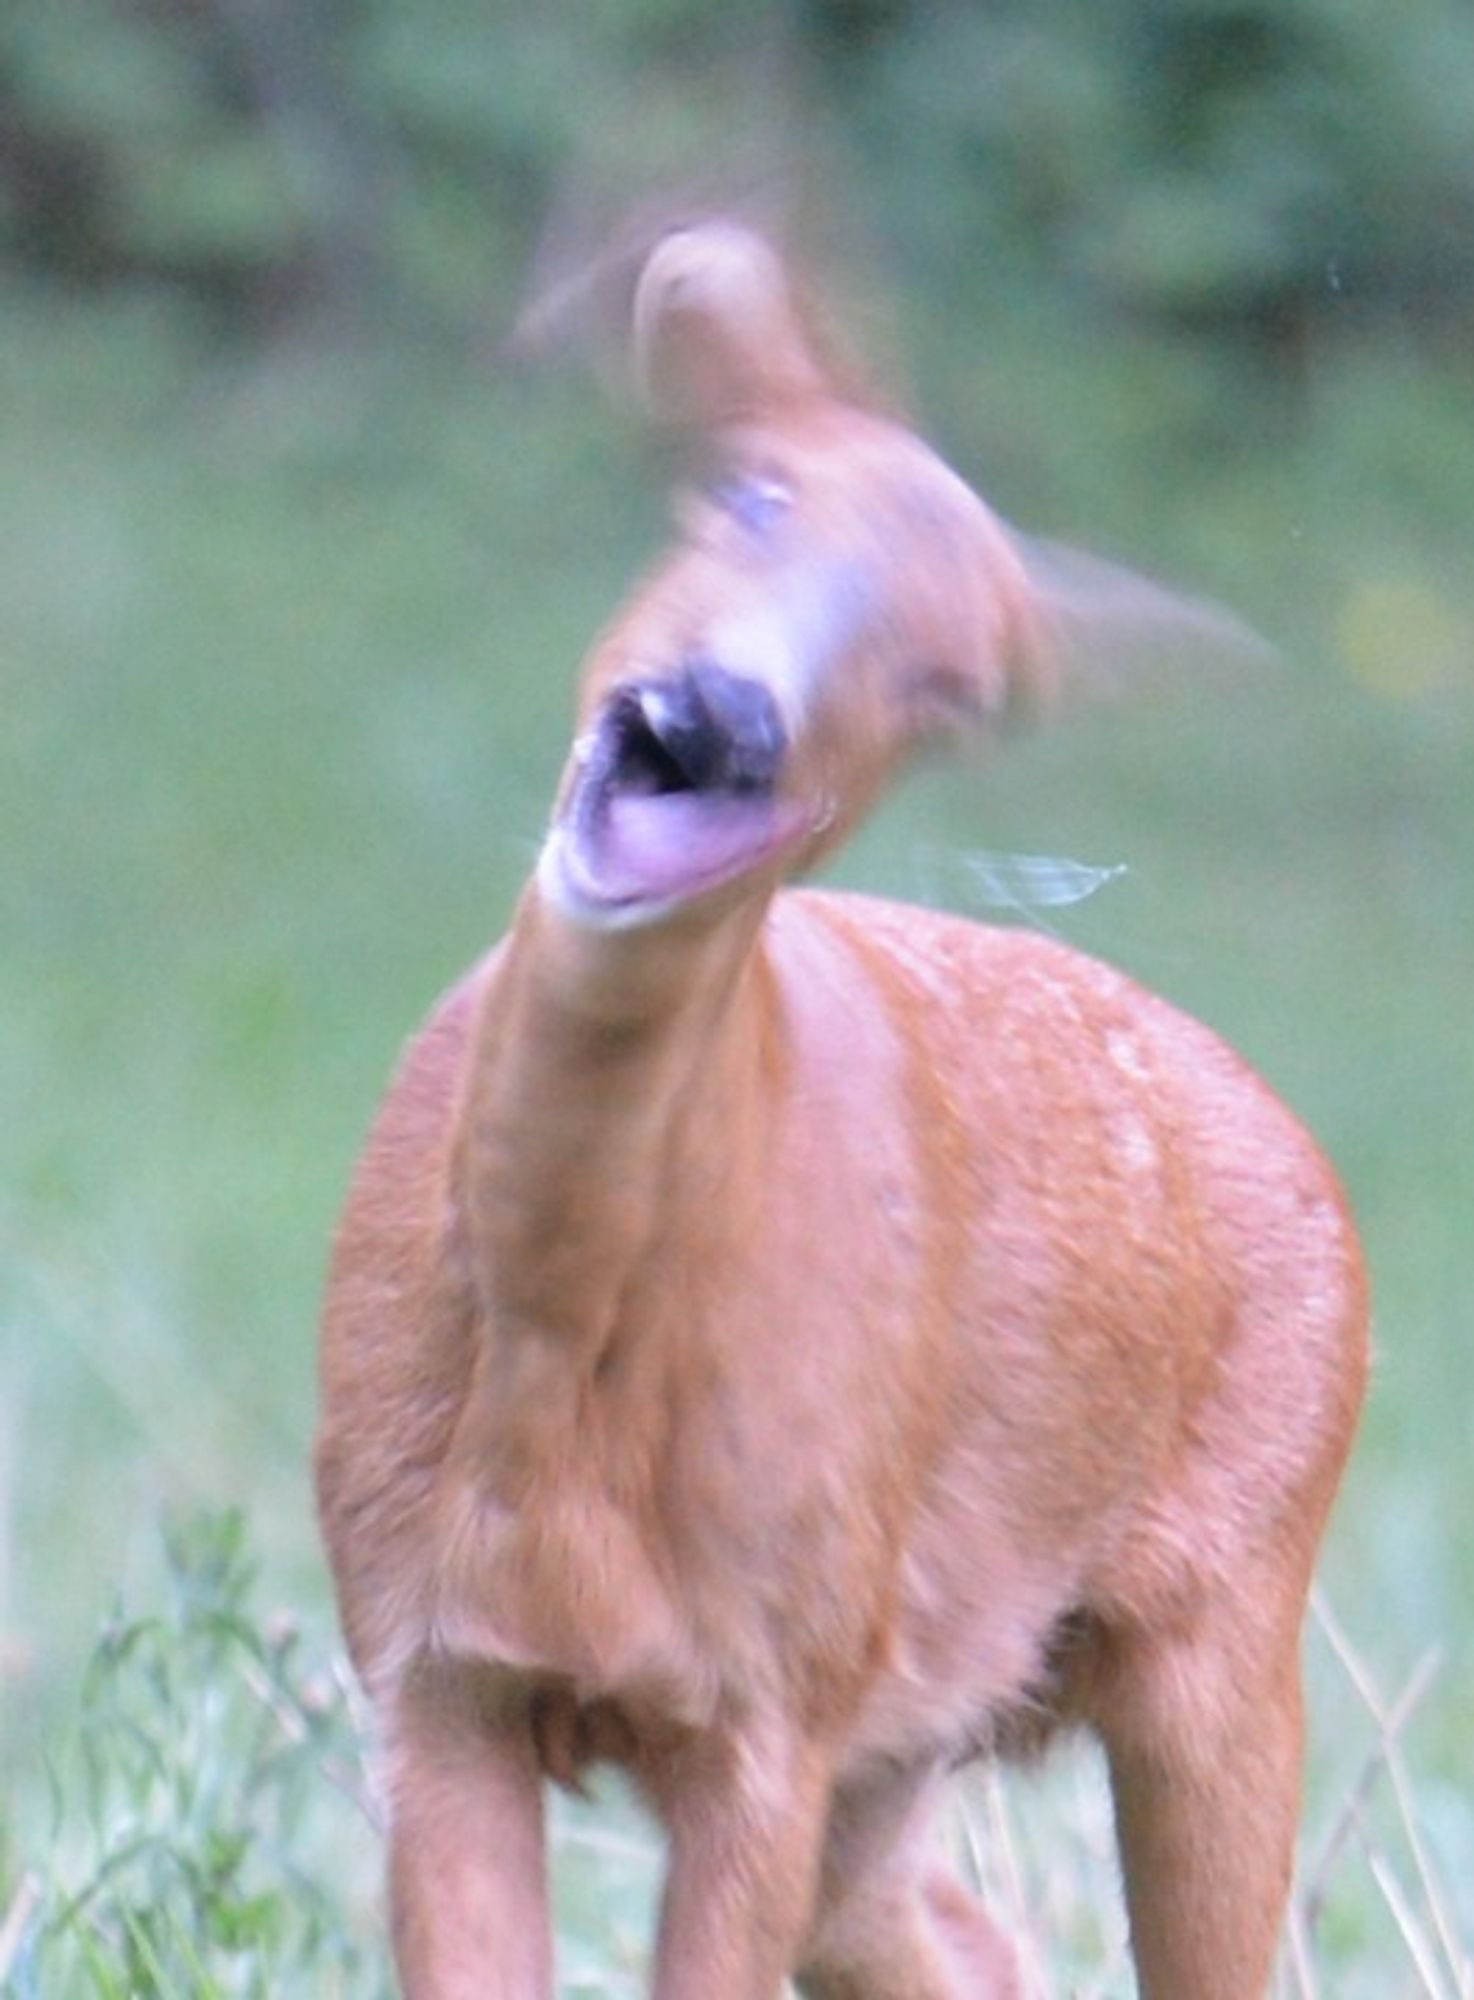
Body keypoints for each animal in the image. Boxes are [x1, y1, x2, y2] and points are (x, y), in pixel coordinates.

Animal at [320, 223, 1368, 2000]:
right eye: (746, 494)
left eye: (957, 690)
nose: (728, 719)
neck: (560, 1373)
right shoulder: (430, 1666)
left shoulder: (772, 1698)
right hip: (917, 1728)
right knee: (970, 1940)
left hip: (1220, 1618)